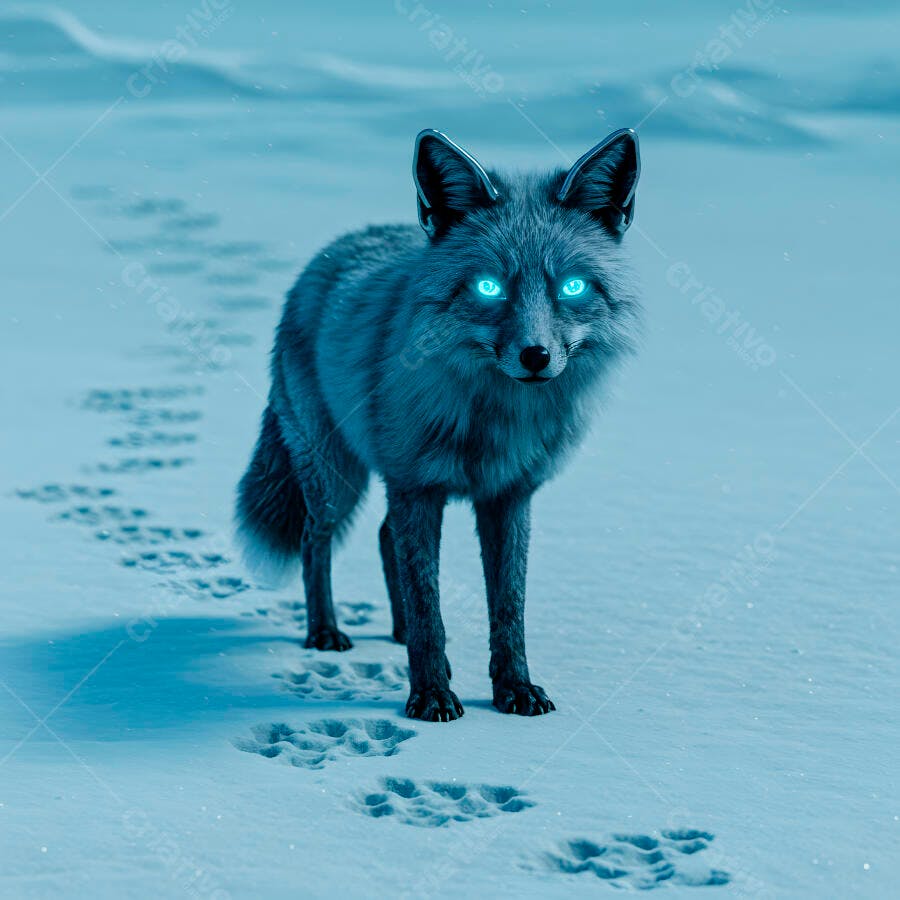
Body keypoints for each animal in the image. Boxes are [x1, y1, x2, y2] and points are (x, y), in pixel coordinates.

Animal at [236, 128, 641, 722]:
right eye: (490, 287)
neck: (494, 423)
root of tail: (331, 252)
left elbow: (509, 607)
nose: (536, 356)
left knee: (385, 538)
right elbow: (429, 604)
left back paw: (397, 632)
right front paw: (429, 694)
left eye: (571, 288)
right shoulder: (417, 487)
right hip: (336, 478)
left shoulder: (507, 495)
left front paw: (514, 689)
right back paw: (325, 632)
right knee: (317, 542)